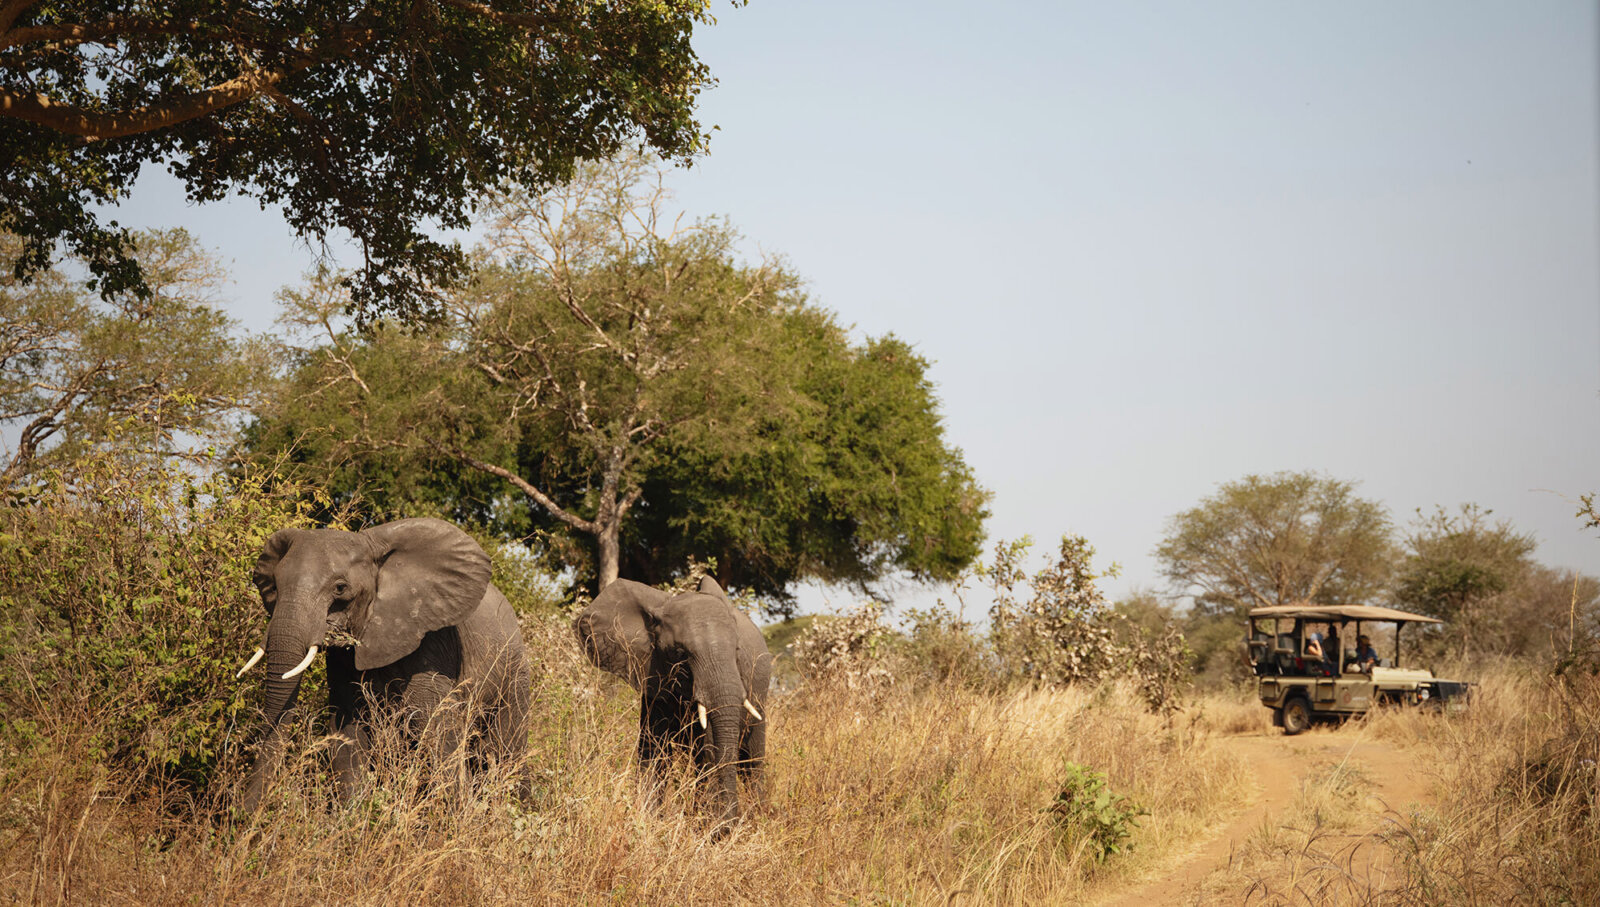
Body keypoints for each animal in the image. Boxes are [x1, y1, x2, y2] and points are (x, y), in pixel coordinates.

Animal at [235, 517, 532, 810]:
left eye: (340, 588)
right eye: (274, 584)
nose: (242, 815)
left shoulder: (431, 640)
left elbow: (434, 724)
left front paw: (454, 815)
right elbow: (347, 729)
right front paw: (351, 816)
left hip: (514, 670)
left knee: (506, 748)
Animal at [573, 576, 772, 834]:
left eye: (737, 651)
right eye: (680, 654)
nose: (727, 826)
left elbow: (709, 753)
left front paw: (708, 830)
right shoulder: (654, 680)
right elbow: (653, 751)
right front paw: (648, 824)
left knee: (752, 764)